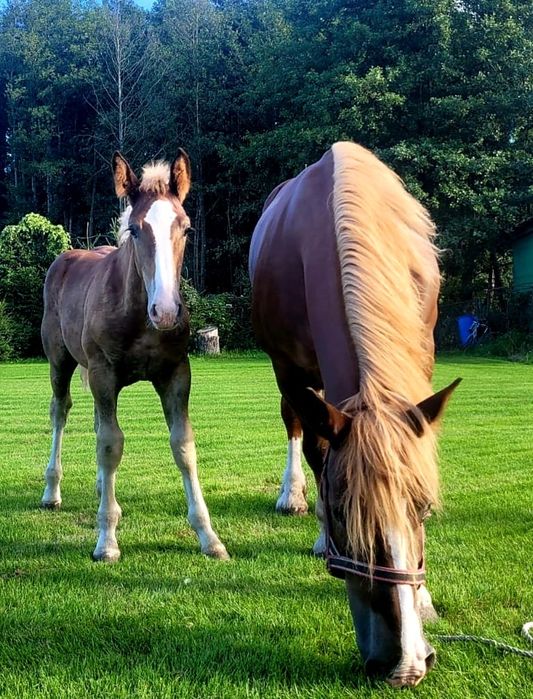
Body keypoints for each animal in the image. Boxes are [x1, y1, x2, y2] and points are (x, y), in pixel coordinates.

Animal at [39, 152, 227, 564]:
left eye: (186, 229)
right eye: (135, 230)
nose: (166, 311)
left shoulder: (176, 373)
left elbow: (183, 446)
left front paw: (208, 536)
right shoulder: (103, 373)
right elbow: (111, 445)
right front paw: (107, 540)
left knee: (96, 421)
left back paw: (98, 488)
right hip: (60, 361)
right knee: (61, 412)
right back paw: (51, 492)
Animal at [249, 144, 458, 688]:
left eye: (423, 508)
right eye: (345, 511)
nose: (405, 663)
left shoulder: (419, 355)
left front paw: (423, 599)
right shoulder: (291, 369)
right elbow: (315, 447)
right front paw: (323, 532)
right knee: (300, 430)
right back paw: (297, 503)